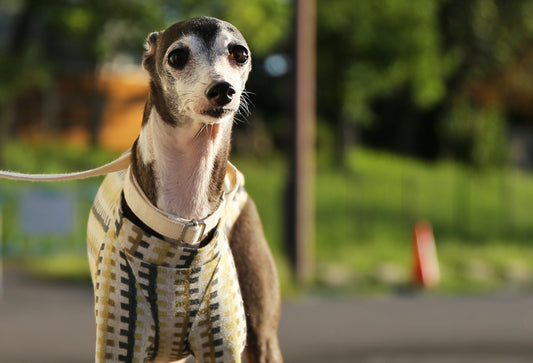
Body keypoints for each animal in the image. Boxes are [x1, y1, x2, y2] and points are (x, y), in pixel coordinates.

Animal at [84, 16, 280, 363]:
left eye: (239, 53)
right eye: (177, 56)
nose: (222, 89)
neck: (184, 224)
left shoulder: (223, 343)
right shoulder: (119, 341)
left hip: (261, 330)